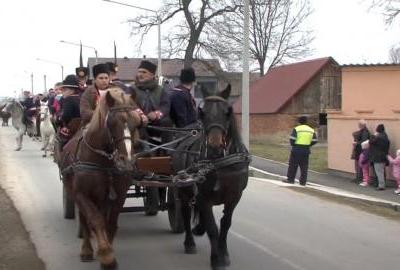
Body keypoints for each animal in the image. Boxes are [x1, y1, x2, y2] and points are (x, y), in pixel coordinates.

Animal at [57, 87, 141, 268]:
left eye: (137, 121)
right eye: (112, 123)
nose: (127, 160)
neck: (103, 160)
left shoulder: (118, 196)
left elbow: (110, 223)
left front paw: (108, 249)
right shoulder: (82, 195)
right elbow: (95, 220)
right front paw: (106, 254)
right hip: (75, 194)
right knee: (84, 220)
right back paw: (87, 250)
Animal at [173, 85, 248, 270]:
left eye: (228, 112)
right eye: (202, 112)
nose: (215, 145)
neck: (219, 162)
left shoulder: (234, 196)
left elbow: (225, 224)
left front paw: (224, 254)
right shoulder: (203, 196)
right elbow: (213, 228)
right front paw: (216, 260)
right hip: (184, 190)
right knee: (185, 213)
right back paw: (189, 243)